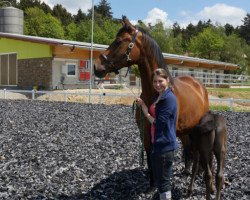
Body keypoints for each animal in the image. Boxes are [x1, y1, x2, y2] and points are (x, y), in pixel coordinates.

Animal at [94, 16, 209, 187]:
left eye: (119, 41)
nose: (97, 66)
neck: (154, 94)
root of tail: (199, 86)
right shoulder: (145, 133)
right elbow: (150, 157)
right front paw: (152, 184)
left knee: (197, 150)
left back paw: (199, 172)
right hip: (185, 130)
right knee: (188, 147)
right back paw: (186, 170)